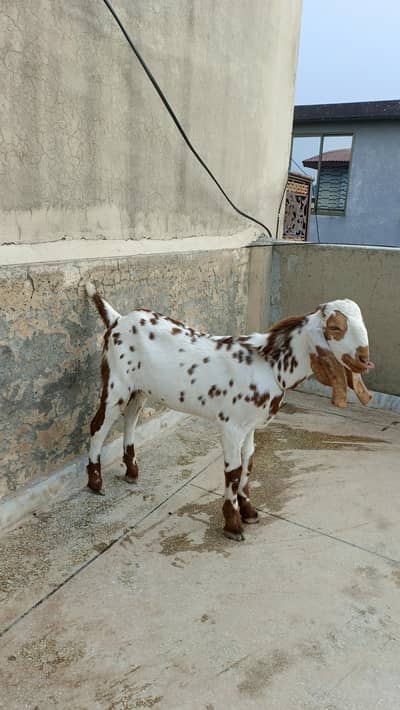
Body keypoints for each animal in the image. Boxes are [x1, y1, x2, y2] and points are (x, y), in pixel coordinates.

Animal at [85, 283, 374, 541]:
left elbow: (249, 463)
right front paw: (233, 524)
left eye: (362, 322)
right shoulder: (231, 427)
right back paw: (96, 483)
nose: (364, 359)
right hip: (116, 385)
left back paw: (132, 472)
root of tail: (117, 319)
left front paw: (248, 511)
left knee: (130, 419)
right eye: (335, 328)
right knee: (98, 425)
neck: (271, 365)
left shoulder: (250, 426)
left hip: (140, 390)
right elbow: (233, 472)